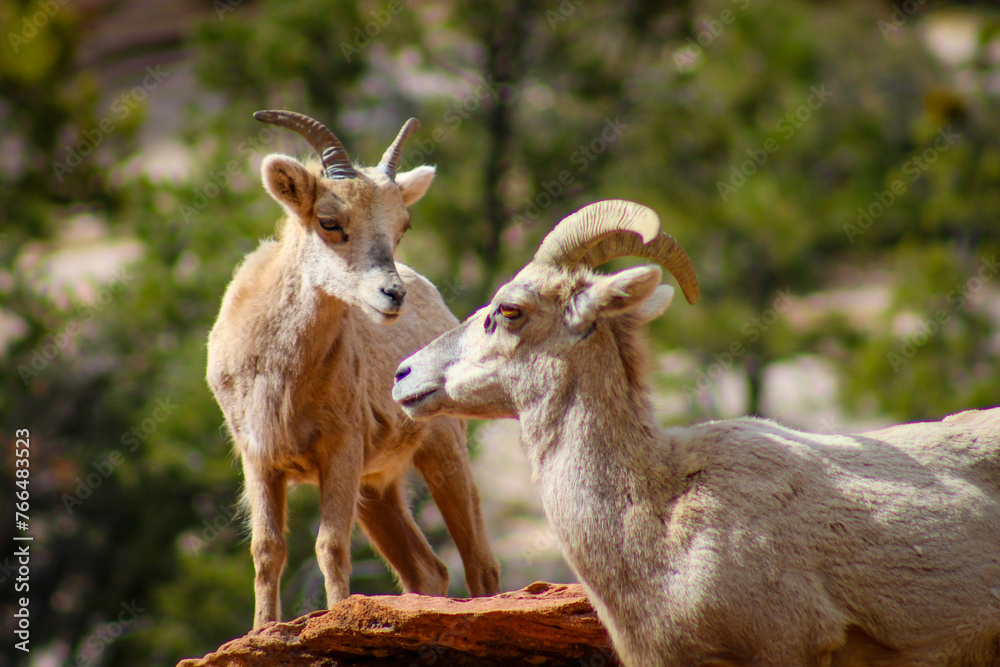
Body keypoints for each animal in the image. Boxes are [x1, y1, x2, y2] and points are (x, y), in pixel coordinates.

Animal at [206, 112, 500, 628]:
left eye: (402, 226)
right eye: (329, 221)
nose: (392, 295)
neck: (278, 377)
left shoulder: (340, 448)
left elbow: (330, 548)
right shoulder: (259, 459)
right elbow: (267, 551)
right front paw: (264, 629)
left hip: (443, 448)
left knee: (479, 565)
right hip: (377, 491)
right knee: (429, 570)